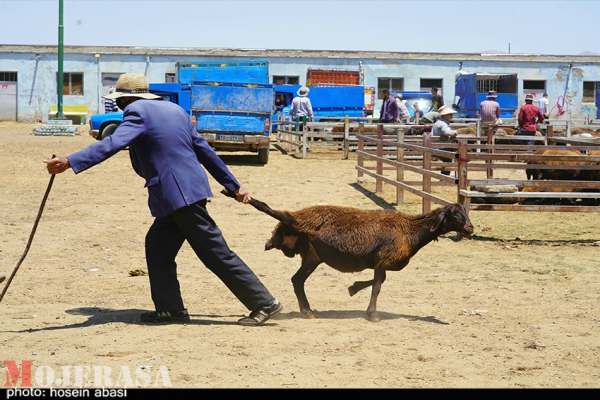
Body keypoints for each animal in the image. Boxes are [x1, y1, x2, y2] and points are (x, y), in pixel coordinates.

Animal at [225, 191, 474, 322]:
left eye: (466, 213)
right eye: (455, 215)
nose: (470, 228)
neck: (411, 230)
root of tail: (295, 218)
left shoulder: (379, 262)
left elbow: (377, 281)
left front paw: (354, 289)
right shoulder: (383, 259)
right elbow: (378, 285)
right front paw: (370, 311)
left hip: (312, 256)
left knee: (297, 280)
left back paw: (307, 311)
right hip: (311, 254)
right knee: (297, 279)